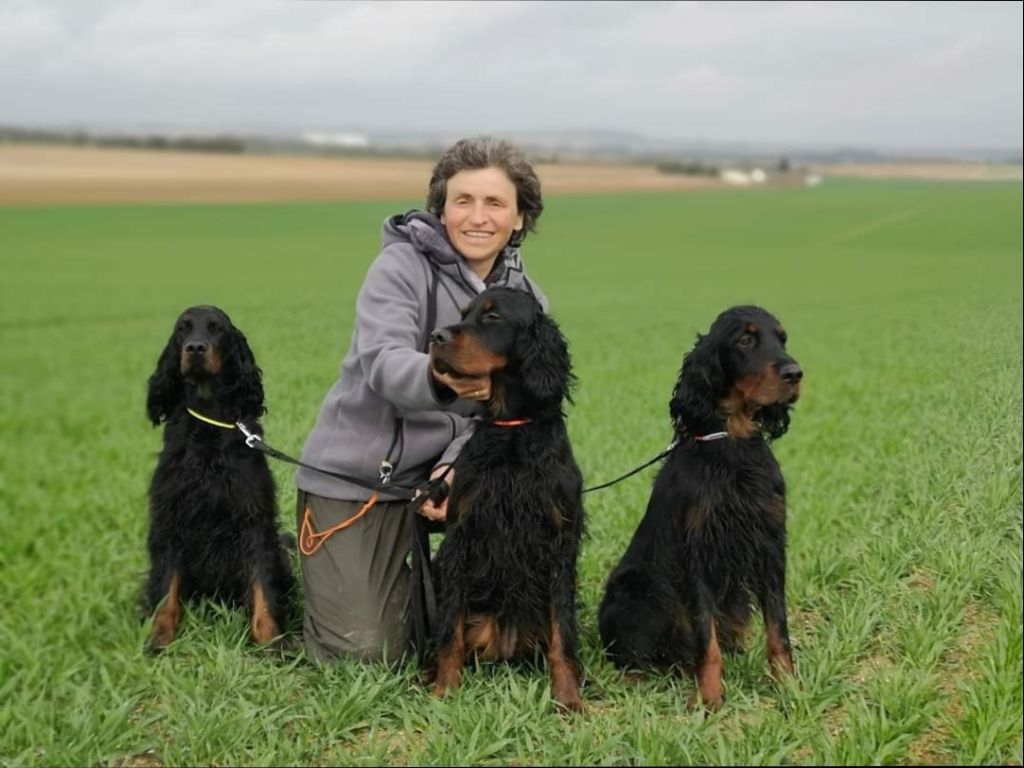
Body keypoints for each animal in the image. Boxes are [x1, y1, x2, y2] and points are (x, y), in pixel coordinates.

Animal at [142, 303, 292, 651]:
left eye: (216, 328)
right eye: (183, 328)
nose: (195, 348)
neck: (208, 421)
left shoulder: (253, 518)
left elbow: (263, 587)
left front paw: (271, 644)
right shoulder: (170, 516)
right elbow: (166, 589)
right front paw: (159, 639)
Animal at [423, 288, 585, 716]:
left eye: (493, 317)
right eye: (464, 312)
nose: (436, 337)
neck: (512, 429)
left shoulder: (560, 540)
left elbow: (563, 634)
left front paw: (568, 696)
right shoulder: (461, 537)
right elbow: (450, 630)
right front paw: (445, 690)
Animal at [598, 305, 802, 708]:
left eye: (783, 338)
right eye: (745, 340)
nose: (795, 373)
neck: (732, 441)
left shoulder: (770, 544)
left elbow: (778, 626)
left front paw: (788, 686)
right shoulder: (697, 550)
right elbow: (706, 640)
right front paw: (709, 699)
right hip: (635, 587)